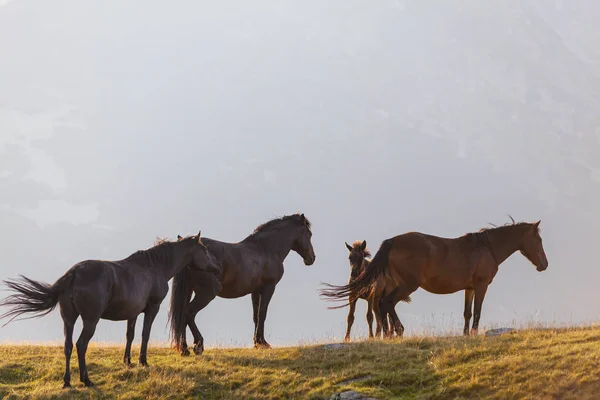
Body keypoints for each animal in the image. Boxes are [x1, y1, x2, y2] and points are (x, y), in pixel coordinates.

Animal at [0, 231, 220, 388]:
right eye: (205, 249)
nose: (218, 267)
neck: (153, 267)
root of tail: (74, 273)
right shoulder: (152, 308)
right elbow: (145, 334)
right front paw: (143, 362)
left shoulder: (132, 313)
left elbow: (130, 336)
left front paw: (128, 362)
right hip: (90, 320)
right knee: (81, 345)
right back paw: (86, 380)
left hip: (68, 319)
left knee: (68, 346)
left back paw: (67, 381)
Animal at [169, 214, 316, 354]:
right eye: (309, 234)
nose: (312, 258)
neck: (265, 249)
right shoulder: (269, 288)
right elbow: (262, 313)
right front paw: (263, 343)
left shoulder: (255, 291)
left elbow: (256, 315)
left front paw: (257, 342)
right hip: (206, 294)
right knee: (188, 313)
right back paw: (197, 345)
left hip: (188, 291)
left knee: (182, 315)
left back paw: (184, 349)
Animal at [324, 219, 548, 338]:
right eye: (538, 239)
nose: (544, 265)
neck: (487, 248)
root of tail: (392, 241)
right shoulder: (481, 285)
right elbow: (477, 311)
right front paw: (474, 333)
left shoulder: (469, 288)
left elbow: (467, 312)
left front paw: (466, 334)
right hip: (408, 285)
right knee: (387, 304)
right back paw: (399, 331)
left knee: (383, 306)